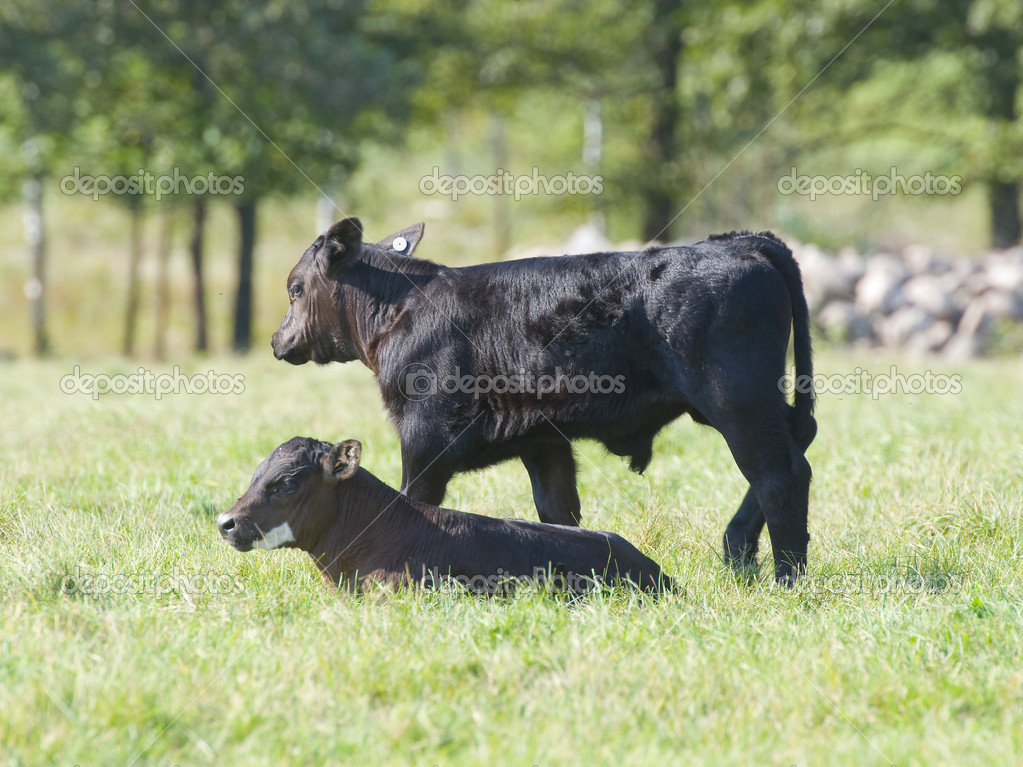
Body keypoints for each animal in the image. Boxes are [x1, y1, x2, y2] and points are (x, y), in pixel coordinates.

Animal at [271, 217, 816, 584]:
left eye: (295, 288)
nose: (277, 340)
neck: (401, 309)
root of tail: (738, 243)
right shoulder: (542, 439)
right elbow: (558, 511)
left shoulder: (425, 436)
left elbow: (415, 502)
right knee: (798, 444)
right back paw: (738, 553)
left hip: (736, 399)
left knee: (781, 472)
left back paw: (785, 577)